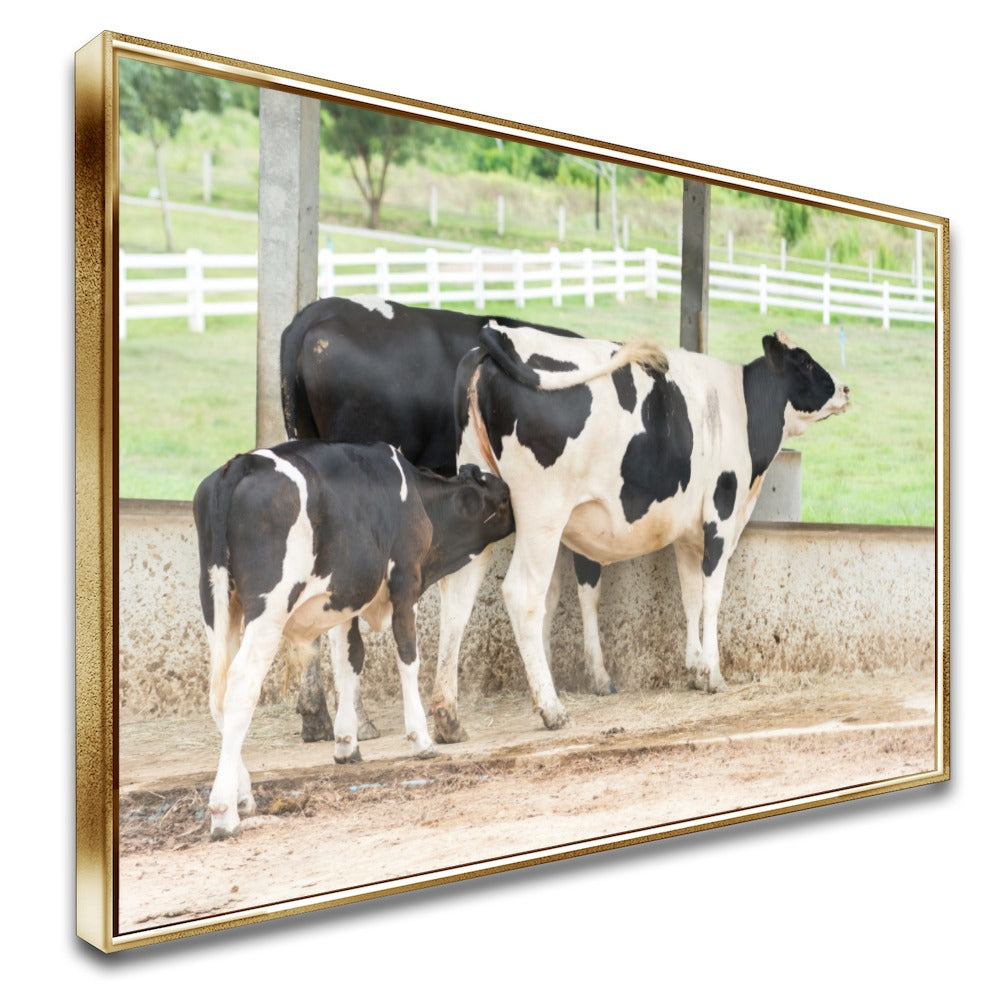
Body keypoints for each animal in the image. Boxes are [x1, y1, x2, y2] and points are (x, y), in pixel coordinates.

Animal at [193, 440, 513, 839]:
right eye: (502, 496)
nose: (515, 503)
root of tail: (239, 464)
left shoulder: (343, 599)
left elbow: (349, 662)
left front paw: (347, 743)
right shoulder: (405, 581)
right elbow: (408, 656)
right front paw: (420, 739)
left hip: (218, 606)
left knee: (217, 695)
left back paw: (244, 795)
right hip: (267, 608)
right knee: (240, 687)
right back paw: (223, 812)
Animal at [428, 325, 850, 738]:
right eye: (805, 362)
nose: (845, 389)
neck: (740, 408)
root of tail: (496, 337)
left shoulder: (688, 533)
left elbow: (690, 596)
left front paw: (695, 668)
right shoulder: (720, 515)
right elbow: (712, 595)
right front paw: (713, 674)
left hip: (482, 497)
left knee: (459, 594)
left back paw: (449, 717)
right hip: (542, 512)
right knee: (522, 593)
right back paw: (552, 709)